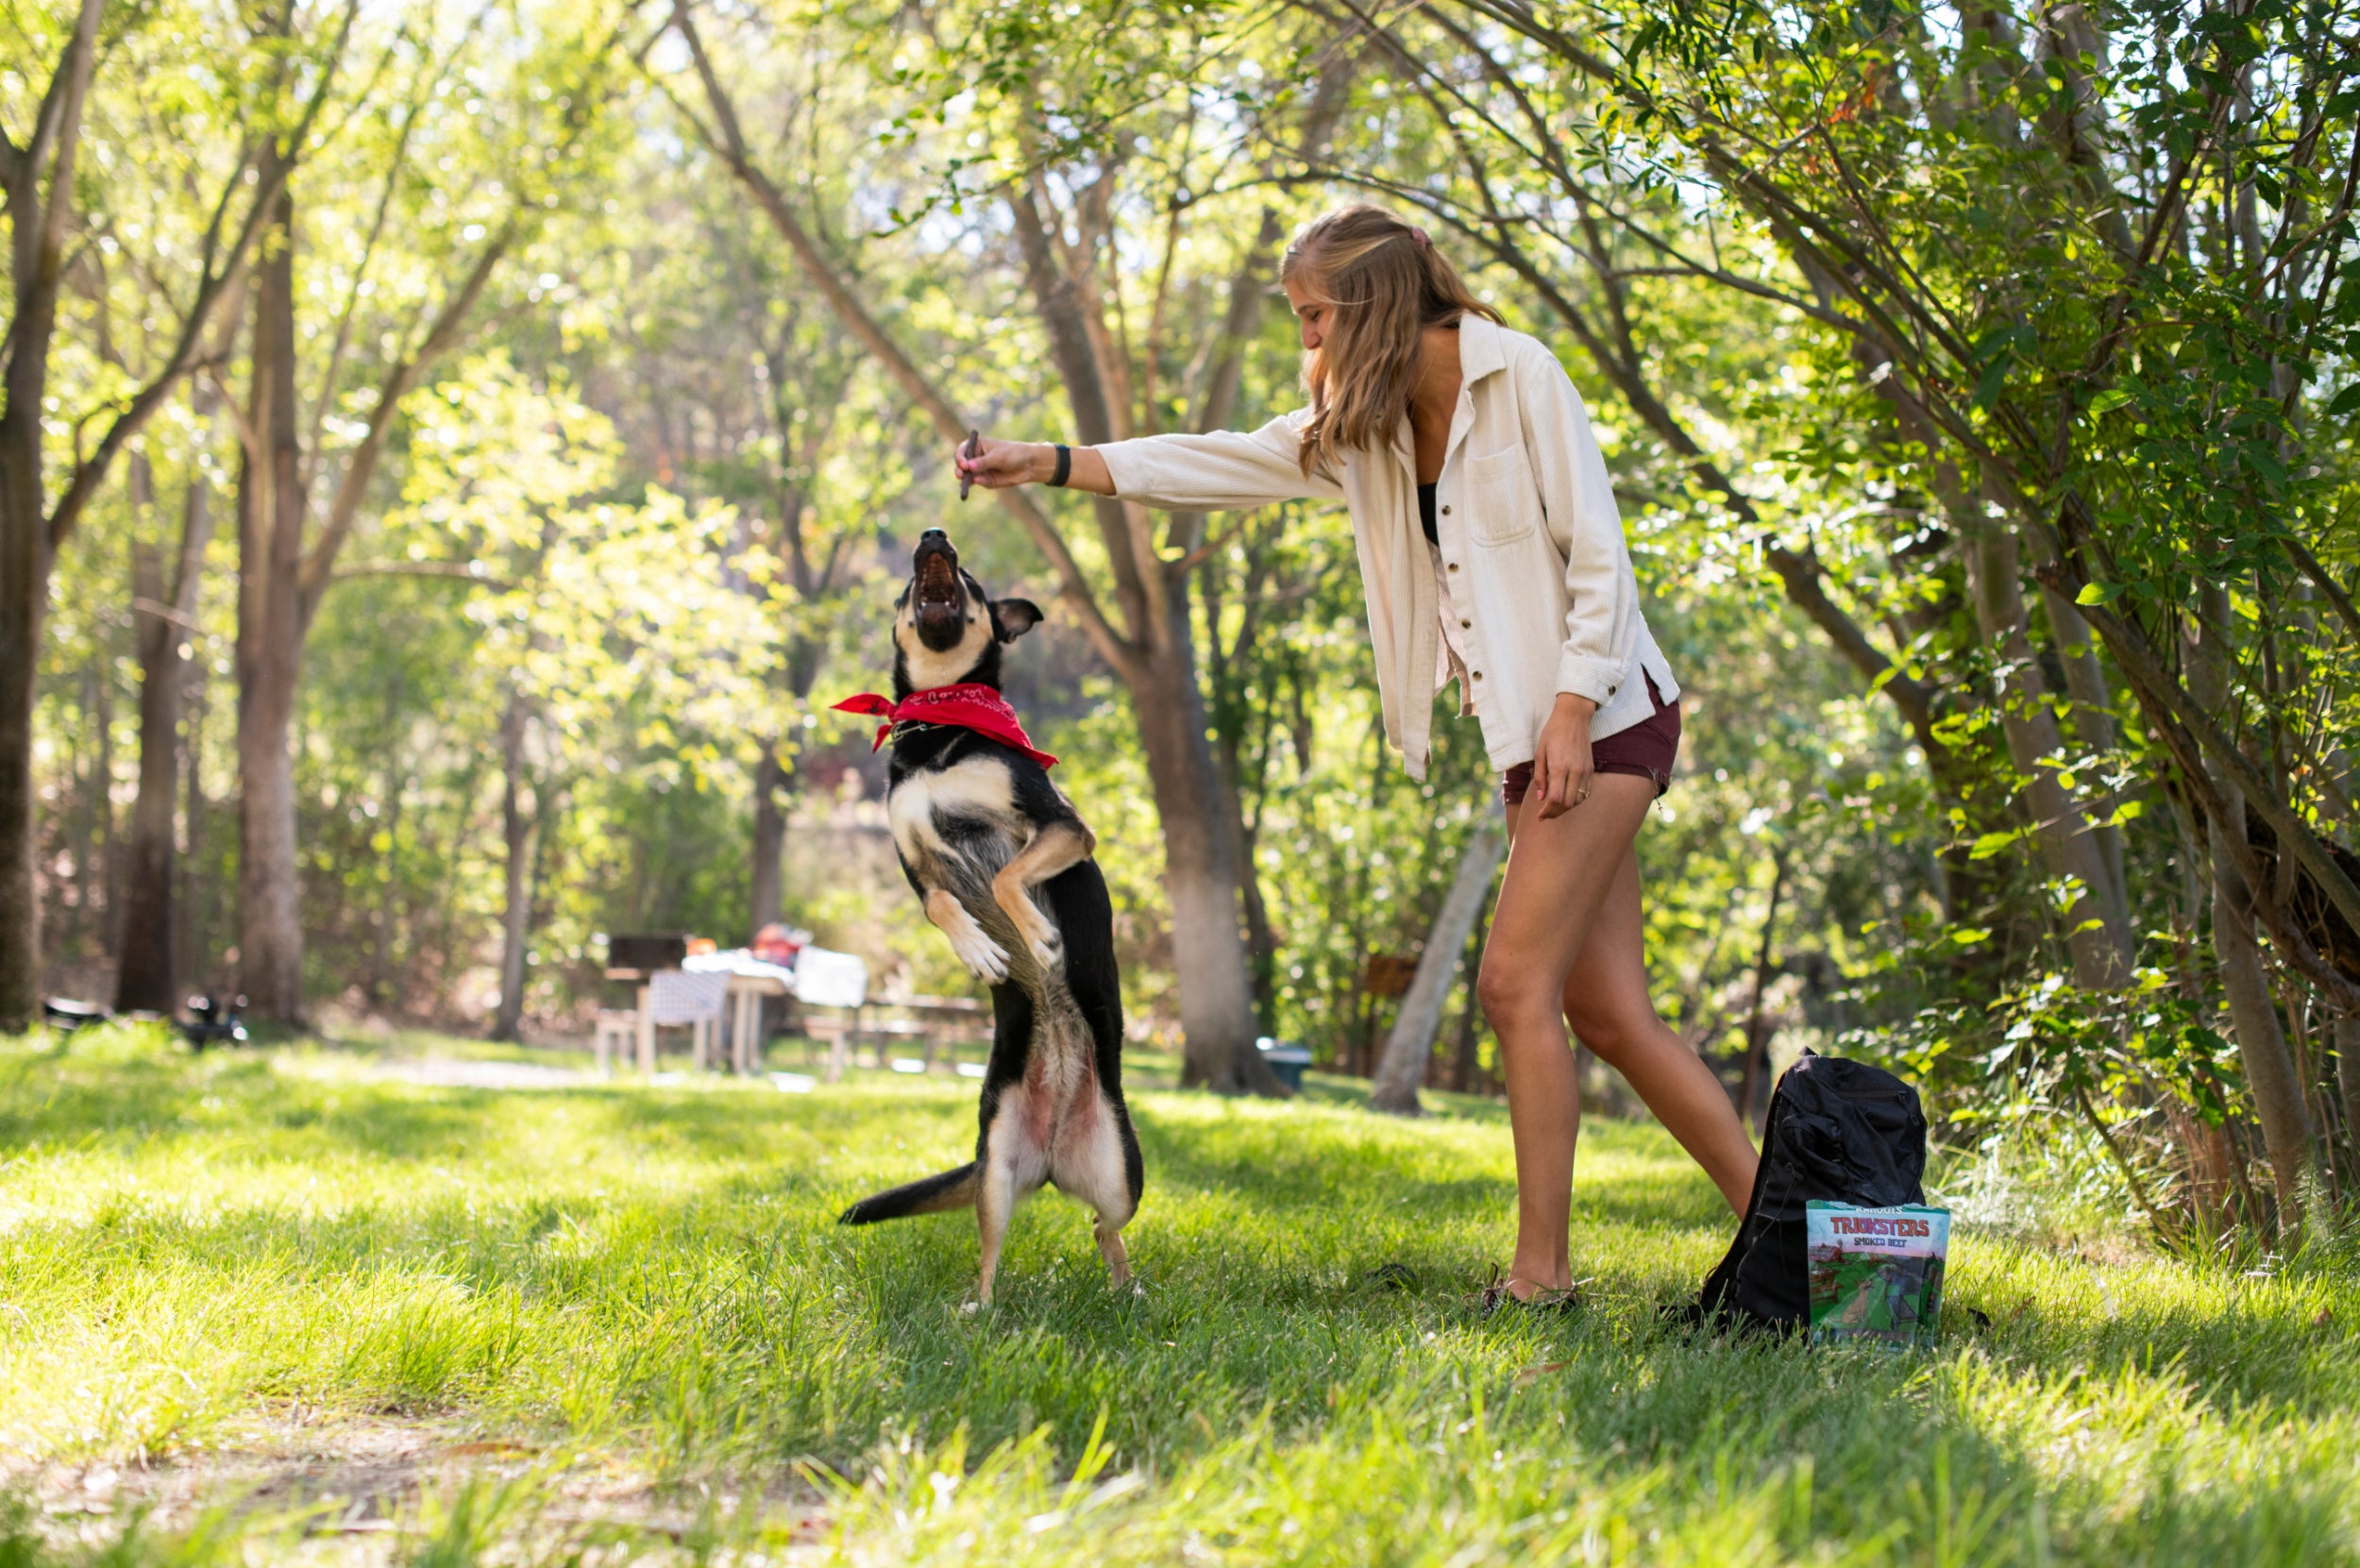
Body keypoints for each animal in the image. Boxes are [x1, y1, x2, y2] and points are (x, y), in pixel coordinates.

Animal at [840, 533, 1142, 1303]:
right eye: (907, 581)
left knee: (1105, 1229)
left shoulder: (1062, 826)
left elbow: (1007, 876)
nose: (934, 537)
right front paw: (979, 950)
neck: (943, 718)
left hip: (1124, 1172)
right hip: (997, 1171)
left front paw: (1034, 935)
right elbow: (946, 902)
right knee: (996, 1251)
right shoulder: (914, 862)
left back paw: (1129, 1292)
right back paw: (976, 1307)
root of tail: (1055, 1153)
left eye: (969, 577)